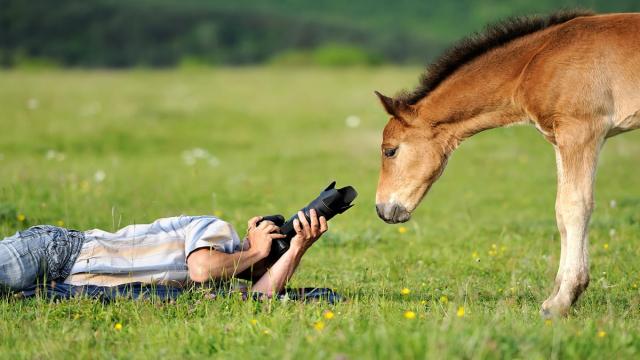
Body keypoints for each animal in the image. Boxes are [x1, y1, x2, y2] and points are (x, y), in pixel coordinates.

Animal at [372, 9, 640, 316]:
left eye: (390, 151)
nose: (382, 209)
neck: (536, 61)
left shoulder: (582, 131)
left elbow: (575, 206)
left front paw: (562, 300)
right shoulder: (560, 138)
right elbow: (561, 211)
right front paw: (555, 294)